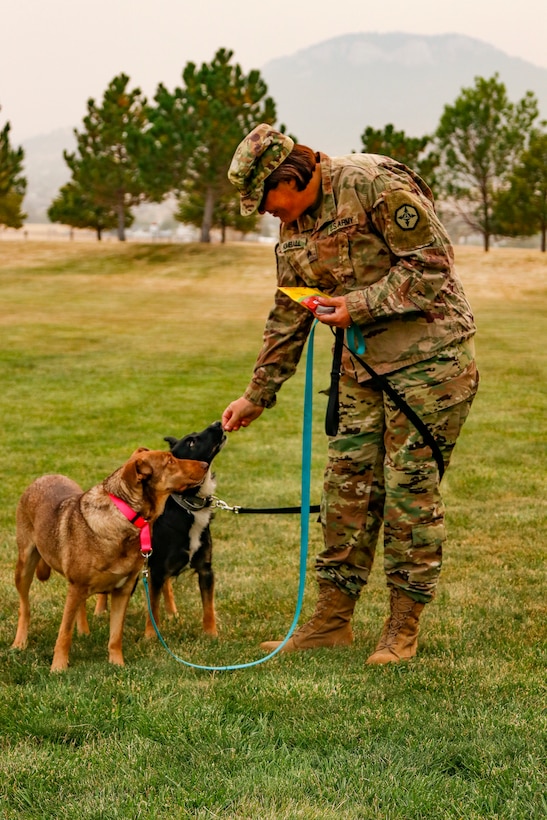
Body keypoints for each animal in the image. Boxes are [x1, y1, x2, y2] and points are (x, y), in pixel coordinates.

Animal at [10, 448, 208, 672]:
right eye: (170, 461)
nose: (205, 465)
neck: (126, 516)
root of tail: (45, 477)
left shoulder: (122, 590)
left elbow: (115, 635)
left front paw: (117, 664)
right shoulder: (77, 585)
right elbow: (64, 634)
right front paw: (58, 668)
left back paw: (84, 632)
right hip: (25, 564)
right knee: (25, 607)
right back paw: (20, 643)